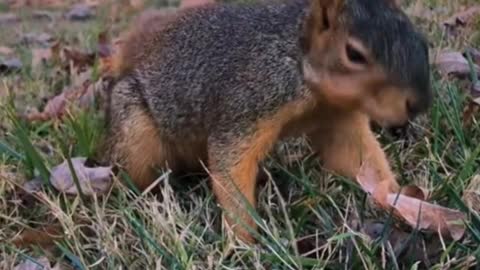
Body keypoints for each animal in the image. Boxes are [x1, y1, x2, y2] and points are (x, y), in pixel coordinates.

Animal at [105, 0, 432, 244]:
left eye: (421, 40)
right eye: (354, 54)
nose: (419, 104)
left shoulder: (338, 119)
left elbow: (359, 158)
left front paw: (398, 198)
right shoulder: (249, 102)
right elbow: (232, 167)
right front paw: (244, 243)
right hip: (136, 131)